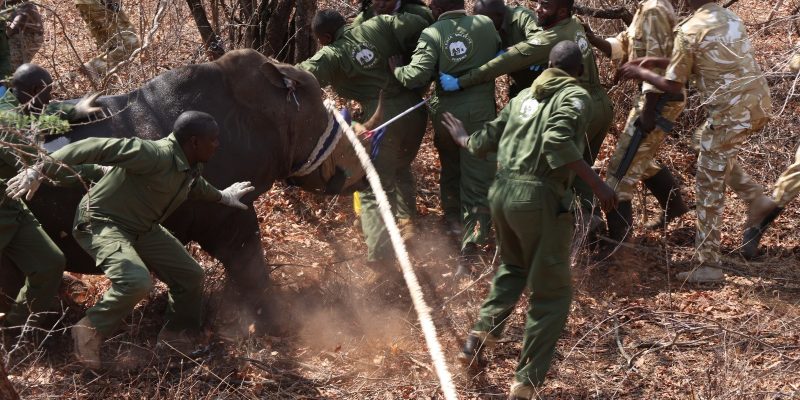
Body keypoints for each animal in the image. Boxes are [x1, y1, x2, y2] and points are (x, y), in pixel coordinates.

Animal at [0, 49, 379, 330]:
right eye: (321, 119)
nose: (362, 176)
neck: (269, 108)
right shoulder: (224, 217)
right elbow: (248, 261)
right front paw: (275, 323)